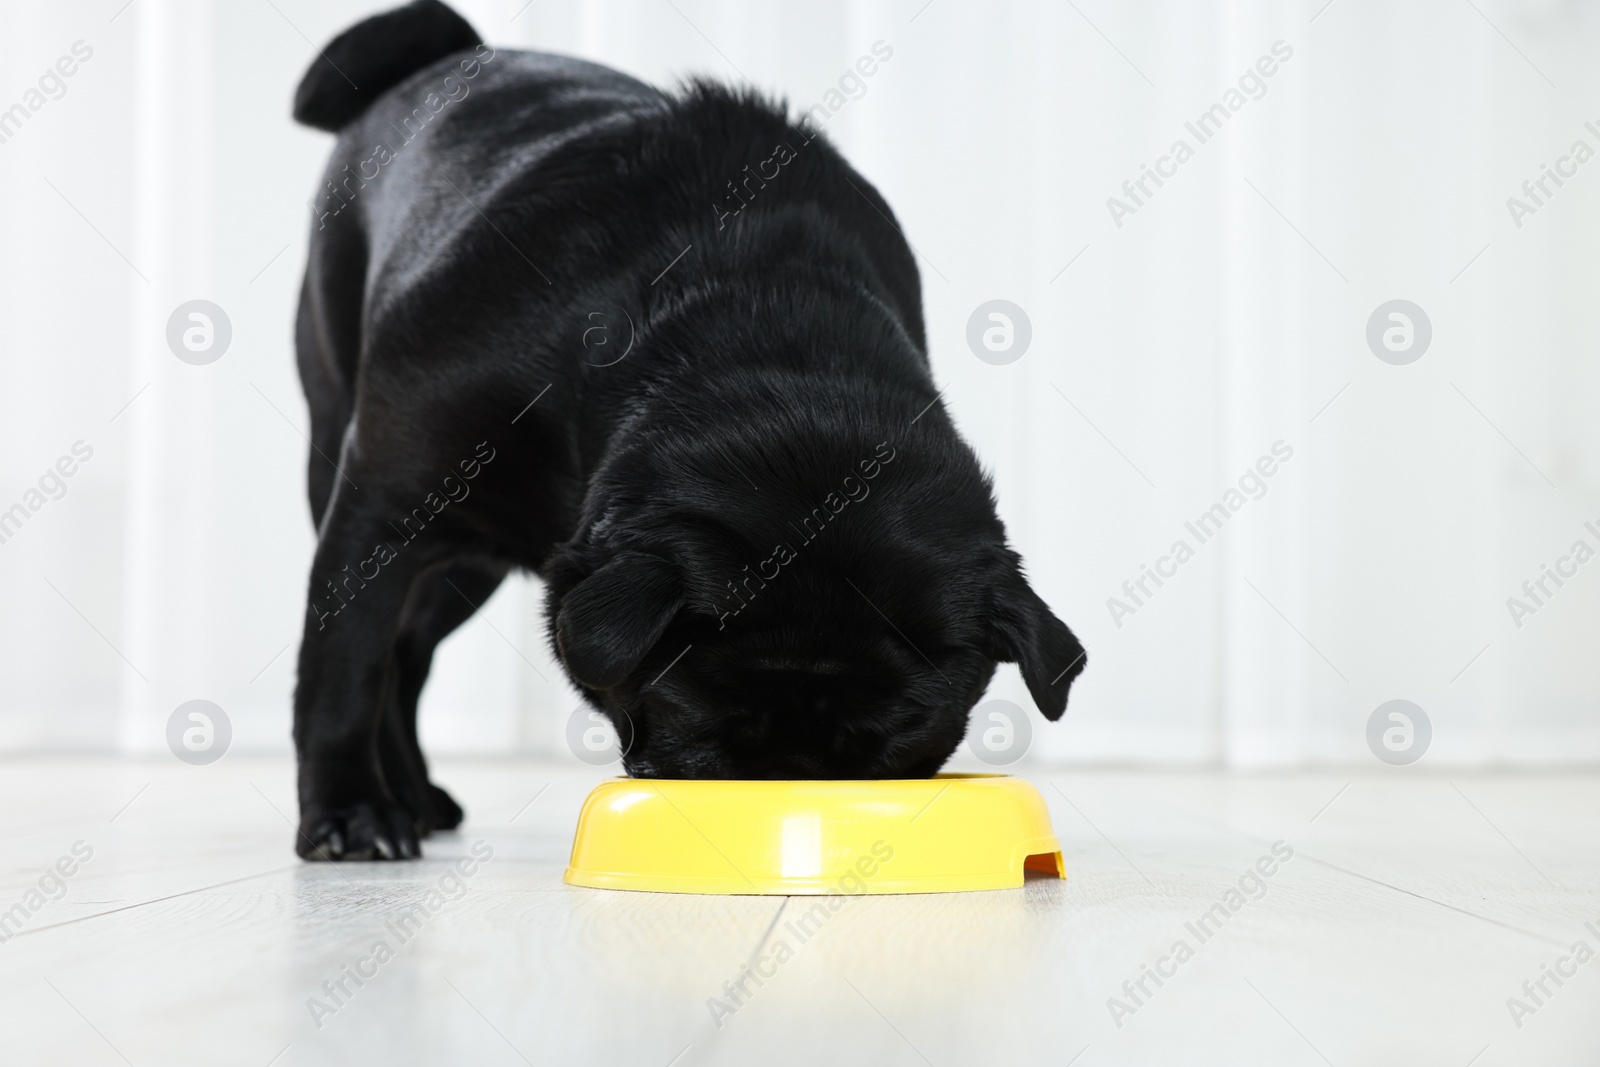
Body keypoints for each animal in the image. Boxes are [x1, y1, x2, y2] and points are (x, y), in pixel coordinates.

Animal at [288, 0, 1088, 857]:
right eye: (696, 701)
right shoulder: (382, 507)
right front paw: (347, 811)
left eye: (907, 726)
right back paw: (388, 801)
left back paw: (415, 794)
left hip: (468, 573)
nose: (788, 768)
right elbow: (342, 670)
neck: (765, 329)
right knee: (385, 656)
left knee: (409, 654)